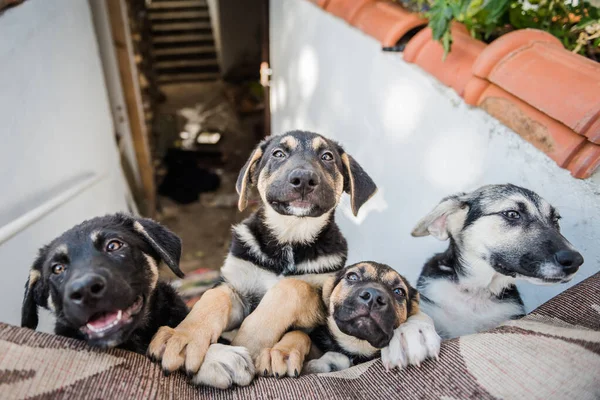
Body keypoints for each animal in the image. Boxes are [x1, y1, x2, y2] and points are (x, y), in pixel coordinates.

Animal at [255, 260, 424, 376]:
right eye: (352, 276)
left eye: (399, 292)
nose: (374, 297)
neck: (354, 345)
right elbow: (300, 333)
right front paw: (284, 353)